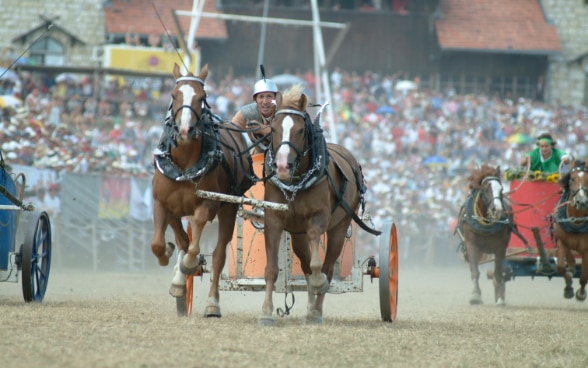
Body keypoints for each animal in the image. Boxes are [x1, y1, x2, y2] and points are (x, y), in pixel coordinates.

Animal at [152, 63, 253, 316]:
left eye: (202, 97)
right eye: (173, 95)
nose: (185, 131)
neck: (184, 166)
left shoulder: (208, 204)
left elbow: (195, 241)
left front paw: (189, 264)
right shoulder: (163, 204)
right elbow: (165, 243)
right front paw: (173, 265)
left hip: (229, 208)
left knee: (218, 255)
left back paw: (212, 304)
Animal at [260, 84, 378, 324]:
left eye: (300, 130)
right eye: (273, 129)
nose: (282, 167)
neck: (296, 182)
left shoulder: (318, 218)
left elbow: (318, 265)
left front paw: (318, 284)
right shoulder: (273, 219)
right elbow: (272, 269)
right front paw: (266, 312)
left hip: (339, 227)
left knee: (328, 266)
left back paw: (316, 310)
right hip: (297, 233)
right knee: (305, 265)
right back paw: (310, 306)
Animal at [458, 165, 512, 306]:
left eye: (501, 189)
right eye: (486, 189)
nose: (498, 211)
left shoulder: (500, 247)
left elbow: (498, 272)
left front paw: (500, 298)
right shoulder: (471, 244)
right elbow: (475, 272)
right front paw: (475, 296)